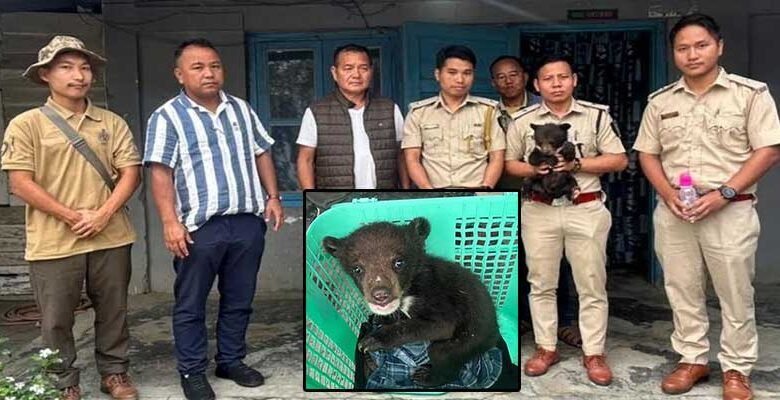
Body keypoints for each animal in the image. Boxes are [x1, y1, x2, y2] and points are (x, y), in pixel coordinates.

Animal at [322, 217, 500, 387]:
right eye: (357, 269)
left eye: (398, 262)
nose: (381, 295)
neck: (409, 289)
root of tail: (494, 333)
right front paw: (382, 319)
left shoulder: (435, 297)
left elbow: (437, 325)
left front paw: (371, 341)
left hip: (466, 339)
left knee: (443, 356)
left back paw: (426, 378)